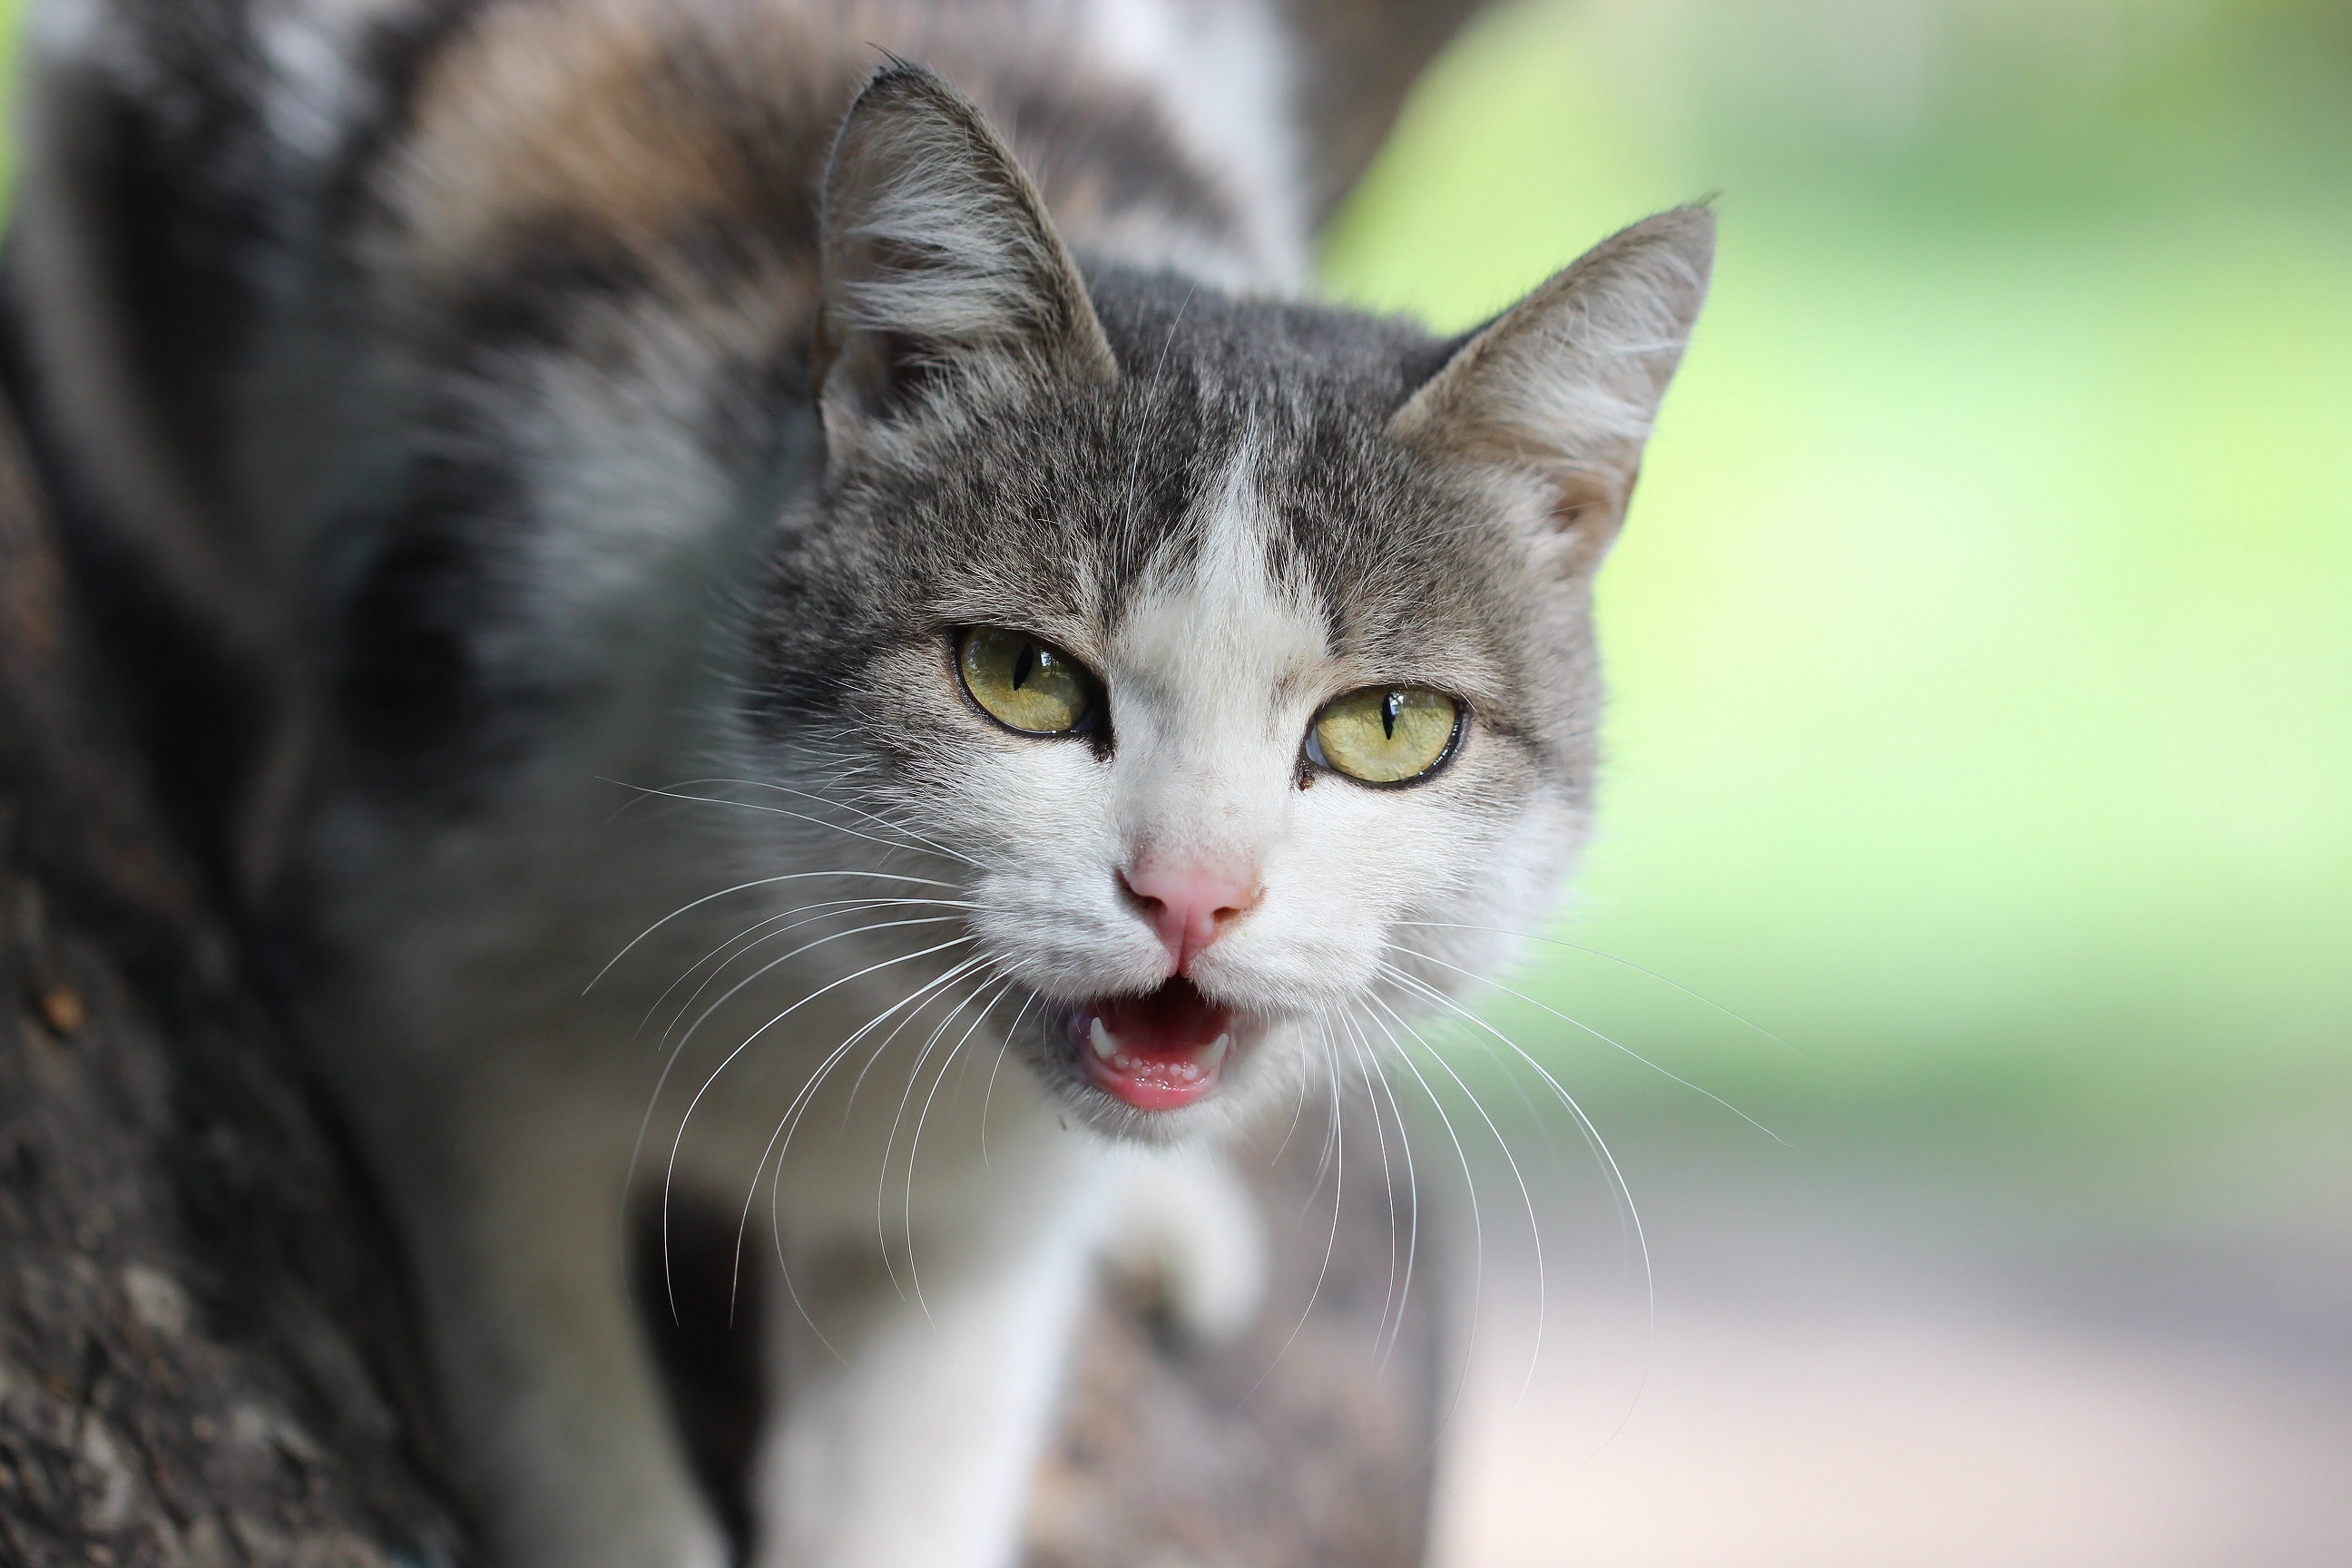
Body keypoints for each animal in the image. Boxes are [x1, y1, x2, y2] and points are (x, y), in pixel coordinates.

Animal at [14, 3, 1711, 1568]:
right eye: (1020, 677)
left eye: (1388, 727)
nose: (1190, 892)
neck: (844, 999)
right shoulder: (428, 932)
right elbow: (547, 1377)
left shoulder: (973, 1235)